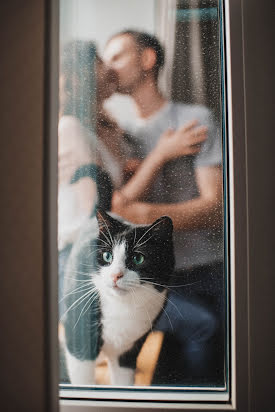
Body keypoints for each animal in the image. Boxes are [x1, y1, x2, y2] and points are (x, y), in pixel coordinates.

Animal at [62, 209, 175, 386]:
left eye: (138, 258)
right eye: (107, 256)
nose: (115, 275)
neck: (122, 306)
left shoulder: (127, 352)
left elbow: (123, 379)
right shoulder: (78, 336)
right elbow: (83, 378)